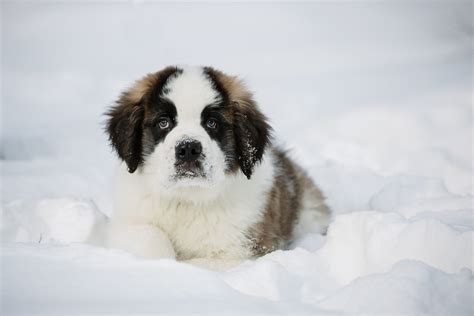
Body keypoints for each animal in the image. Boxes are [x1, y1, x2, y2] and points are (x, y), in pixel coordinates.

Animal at [106, 65, 332, 268]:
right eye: (163, 123)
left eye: (212, 123)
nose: (188, 148)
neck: (187, 200)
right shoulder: (126, 222)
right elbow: (149, 236)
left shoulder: (238, 253)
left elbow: (197, 263)